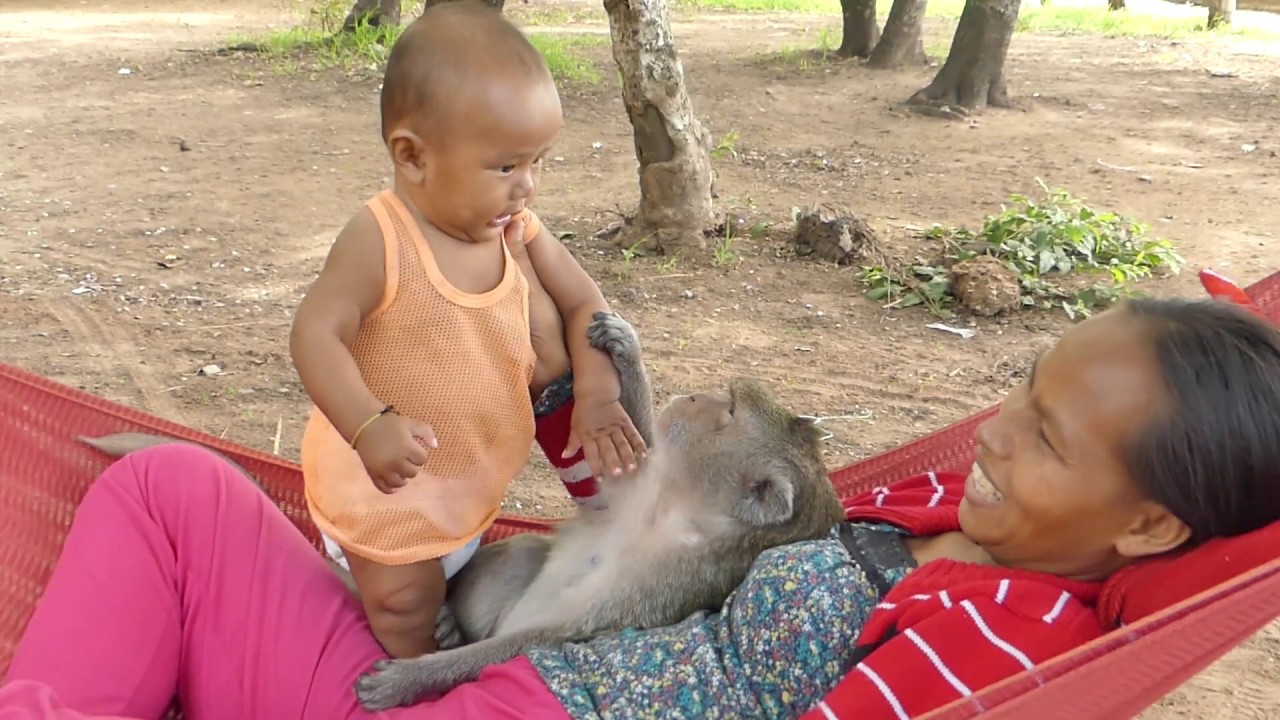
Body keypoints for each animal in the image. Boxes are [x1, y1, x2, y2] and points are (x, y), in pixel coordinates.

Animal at [351, 311, 846, 711]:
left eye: (728, 411)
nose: (693, 397)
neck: (670, 508)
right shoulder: (643, 486)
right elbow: (616, 453)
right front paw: (625, 350)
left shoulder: (669, 581)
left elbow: (552, 638)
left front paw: (410, 679)